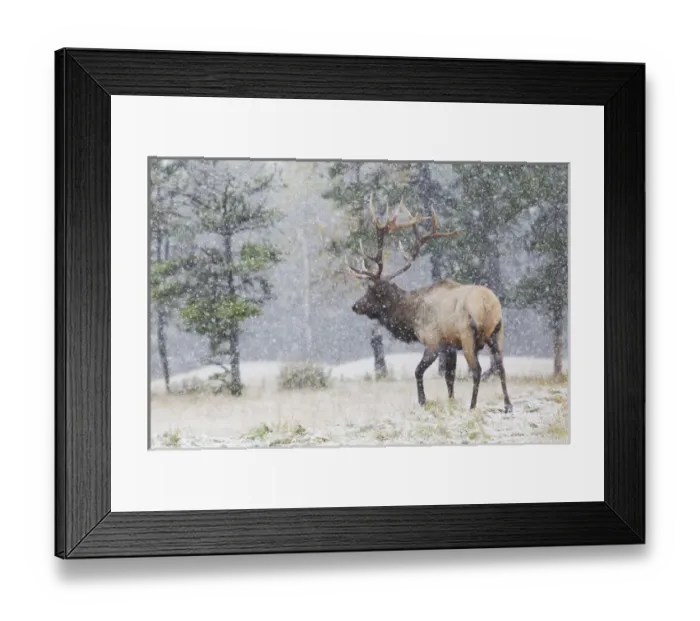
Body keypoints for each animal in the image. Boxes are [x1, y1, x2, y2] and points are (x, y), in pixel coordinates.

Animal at [347, 195, 513, 414]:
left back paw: (472, 406)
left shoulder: (433, 341)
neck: (412, 317)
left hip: (468, 334)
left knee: (476, 369)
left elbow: (418, 371)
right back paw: (508, 405)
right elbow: (449, 377)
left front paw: (422, 401)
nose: (355, 306)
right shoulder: (450, 346)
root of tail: (487, 304)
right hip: (498, 331)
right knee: (501, 365)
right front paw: (451, 401)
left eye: (372, 291)